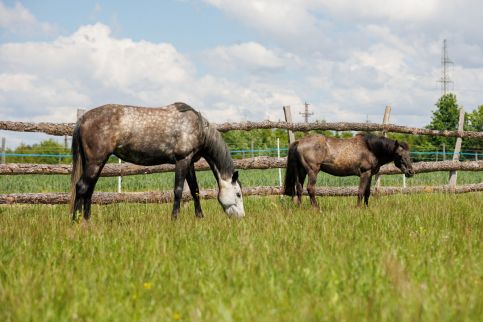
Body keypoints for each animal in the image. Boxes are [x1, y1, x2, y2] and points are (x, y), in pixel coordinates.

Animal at [71, 103, 246, 221]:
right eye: (238, 194)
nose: (241, 217)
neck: (198, 127)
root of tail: (83, 119)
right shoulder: (182, 160)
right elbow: (178, 190)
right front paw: (174, 219)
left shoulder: (189, 161)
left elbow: (195, 190)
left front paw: (200, 217)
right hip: (95, 161)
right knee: (81, 187)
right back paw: (75, 221)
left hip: (97, 162)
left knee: (89, 190)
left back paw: (87, 220)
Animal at [284, 134, 416, 208]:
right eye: (399, 155)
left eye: (409, 154)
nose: (410, 172)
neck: (371, 149)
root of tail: (299, 142)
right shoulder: (364, 173)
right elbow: (361, 191)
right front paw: (357, 208)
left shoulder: (370, 174)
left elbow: (367, 192)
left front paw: (366, 208)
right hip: (312, 171)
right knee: (310, 188)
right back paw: (316, 208)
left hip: (301, 171)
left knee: (299, 188)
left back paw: (300, 207)